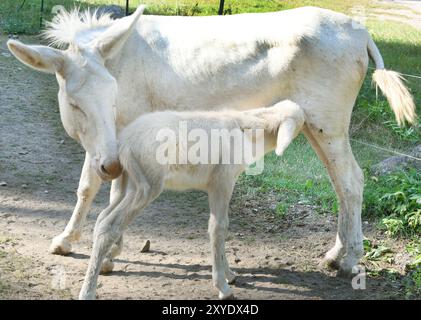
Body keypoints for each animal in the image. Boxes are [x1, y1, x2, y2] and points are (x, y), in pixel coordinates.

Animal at [77, 100, 304, 300]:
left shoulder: (219, 184)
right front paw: (223, 286)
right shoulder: (222, 181)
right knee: (109, 225)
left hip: (129, 184)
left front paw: (229, 274)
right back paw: (87, 291)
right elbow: (218, 227)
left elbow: (220, 228)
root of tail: (124, 142)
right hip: (147, 184)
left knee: (101, 218)